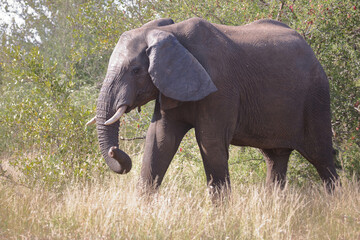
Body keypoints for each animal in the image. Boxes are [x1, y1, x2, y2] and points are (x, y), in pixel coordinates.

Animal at [86, 16, 338, 193]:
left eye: (136, 70)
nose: (115, 150)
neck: (170, 33)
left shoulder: (220, 87)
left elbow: (211, 142)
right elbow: (159, 140)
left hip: (316, 98)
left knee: (323, 157)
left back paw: (334, 205)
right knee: (275, 158)